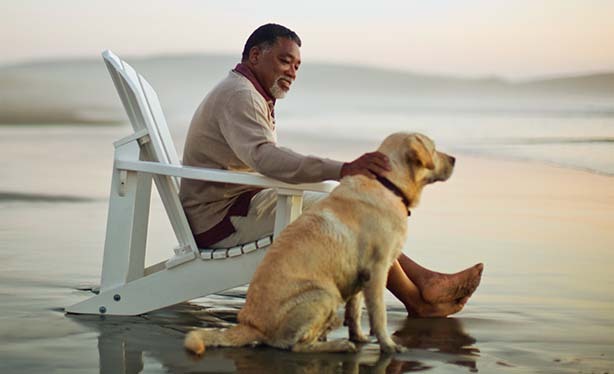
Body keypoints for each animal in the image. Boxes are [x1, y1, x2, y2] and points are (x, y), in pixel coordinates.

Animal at [185, 133, 454, 356]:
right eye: (434, 148)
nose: (454, 158)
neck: (388, 184)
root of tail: (249, 324)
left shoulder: (360, 273)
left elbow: (355, 310)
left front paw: (359, 337)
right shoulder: (377, 270)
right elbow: (379, 315)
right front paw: (388, 345)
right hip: (324, 294)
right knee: (294, 346)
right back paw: (339, 345)